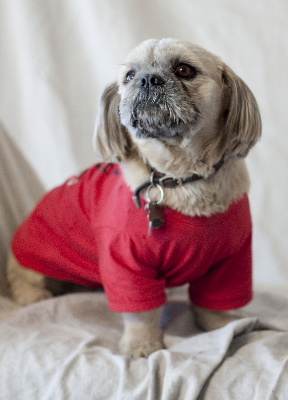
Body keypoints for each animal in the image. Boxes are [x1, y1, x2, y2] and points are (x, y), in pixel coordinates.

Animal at [7, 39, 260, 358]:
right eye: (129, 76)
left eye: (184, 70)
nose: (147, 79)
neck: (180, 176)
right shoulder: (125, 261)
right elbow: (141, 314)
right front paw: (142, 345)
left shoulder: (231, 259)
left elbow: (213, 305)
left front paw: (223, 327)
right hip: (32, 263)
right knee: (22, 281)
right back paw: (34, 294)